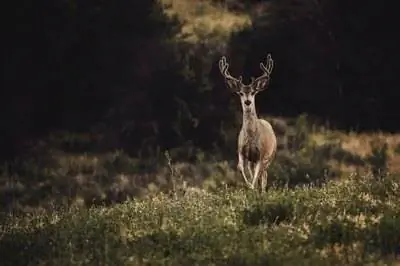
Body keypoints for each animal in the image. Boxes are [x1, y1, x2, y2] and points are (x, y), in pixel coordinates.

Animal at [219, 54, 278, 191]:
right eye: (241, 93)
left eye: (253, 92)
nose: (247, 102)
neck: (251, 138)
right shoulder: (241, 151)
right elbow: (240, 168)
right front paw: (249, 186)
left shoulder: (261, 154)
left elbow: (257, 175)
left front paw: (251, 187)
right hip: (252, 160)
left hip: (270, 156)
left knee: (263, 175)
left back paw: (261, 190)